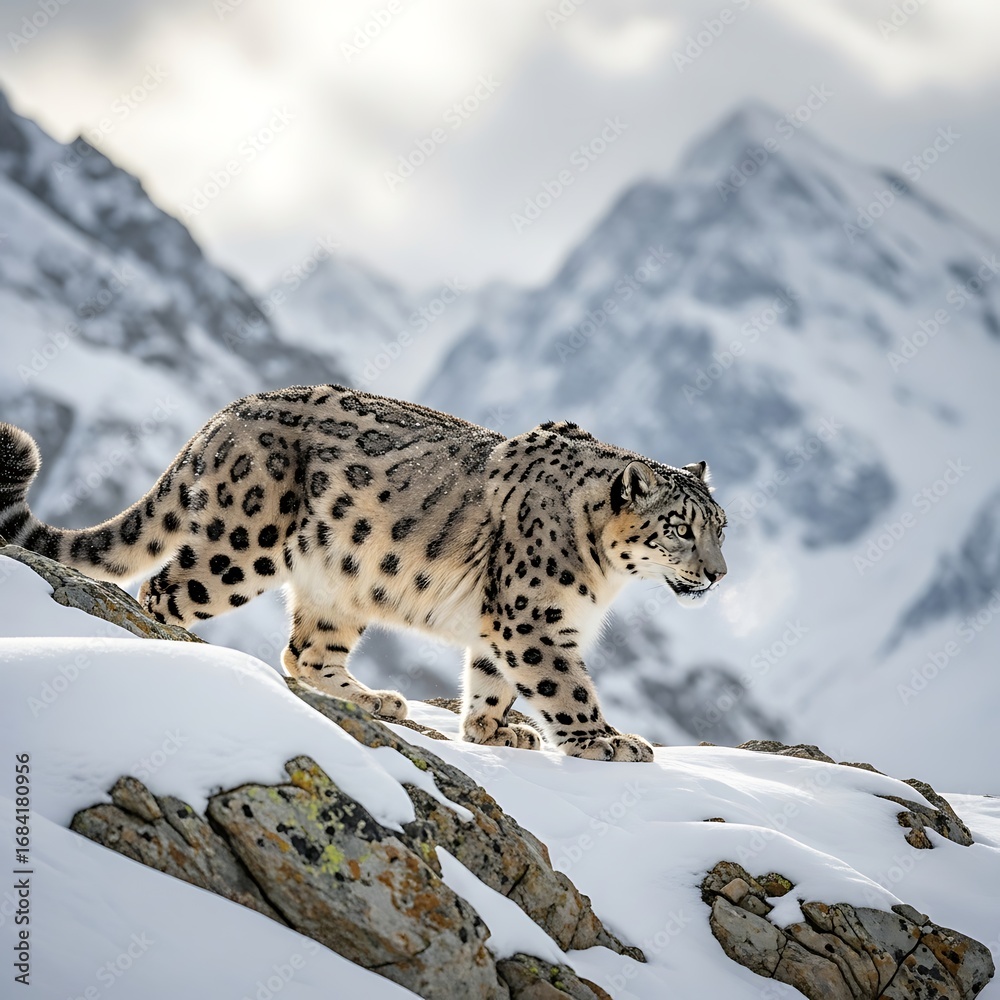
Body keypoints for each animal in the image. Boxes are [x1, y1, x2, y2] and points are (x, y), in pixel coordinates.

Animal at [0, 384, 727, 762]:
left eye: (722, 528)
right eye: (680, 528)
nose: (718, 575)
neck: (604, 580)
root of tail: (227, 411)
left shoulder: (506, 619)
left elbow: (491, 679)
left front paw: (493, 730)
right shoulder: (532, 618)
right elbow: (564, 685)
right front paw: (606, 740)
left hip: (339, 584)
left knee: (304, 651)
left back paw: (374, 698)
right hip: (243, 542)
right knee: (163, 589)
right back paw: (179, 645)